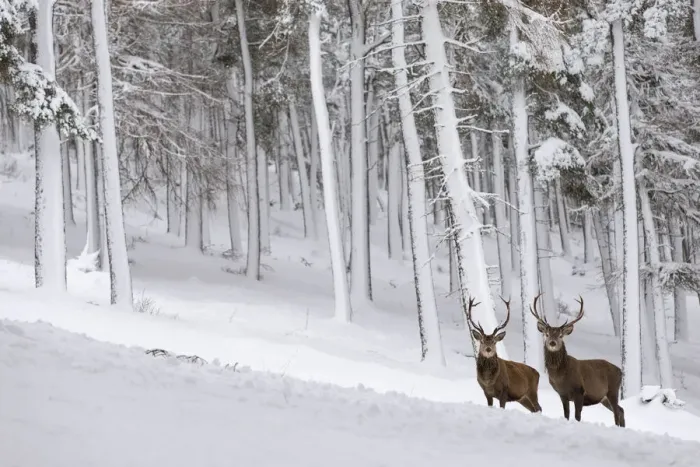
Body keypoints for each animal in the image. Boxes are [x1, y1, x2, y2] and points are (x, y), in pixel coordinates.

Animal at [529, 293, 625, 427]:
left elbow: (577, 417)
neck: (560, 377)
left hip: (613, 389)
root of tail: (620, 371)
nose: (552, 343)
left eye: (560, 335)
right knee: (621, 409)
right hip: (604, 398)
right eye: (547, 334)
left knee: (617, 412)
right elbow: (566, 415)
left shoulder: (579, 391)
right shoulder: (562, 394)